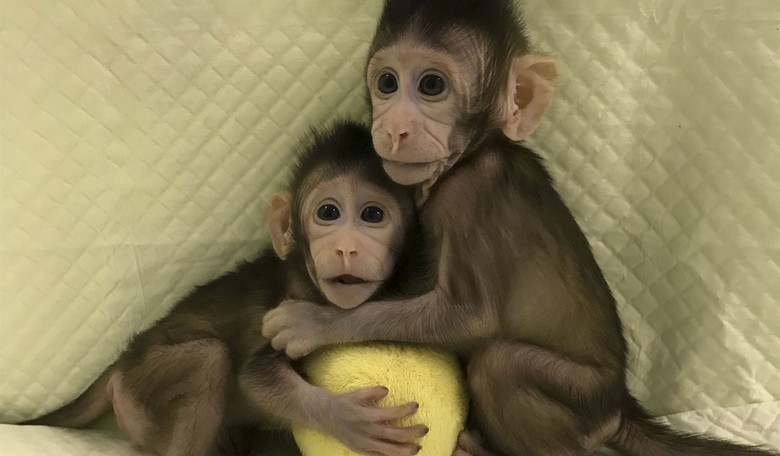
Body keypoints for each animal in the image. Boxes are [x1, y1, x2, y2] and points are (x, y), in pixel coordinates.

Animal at [23, 120, 430, 456]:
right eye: (328, 213)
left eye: (373, 215)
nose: (346, 247)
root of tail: (123, 361)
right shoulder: (291, 302)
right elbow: (256, 378)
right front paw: (345, 418)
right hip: (141, 384)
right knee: (209, 359)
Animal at [261, 2, 780, 456]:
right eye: (387, 82)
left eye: (431, 85)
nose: (394, 129)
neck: (474, 152)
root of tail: (618, 407)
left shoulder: (469, 195)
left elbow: (470, 316)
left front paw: (315, 322)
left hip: (580, 399)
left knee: (500, 365)